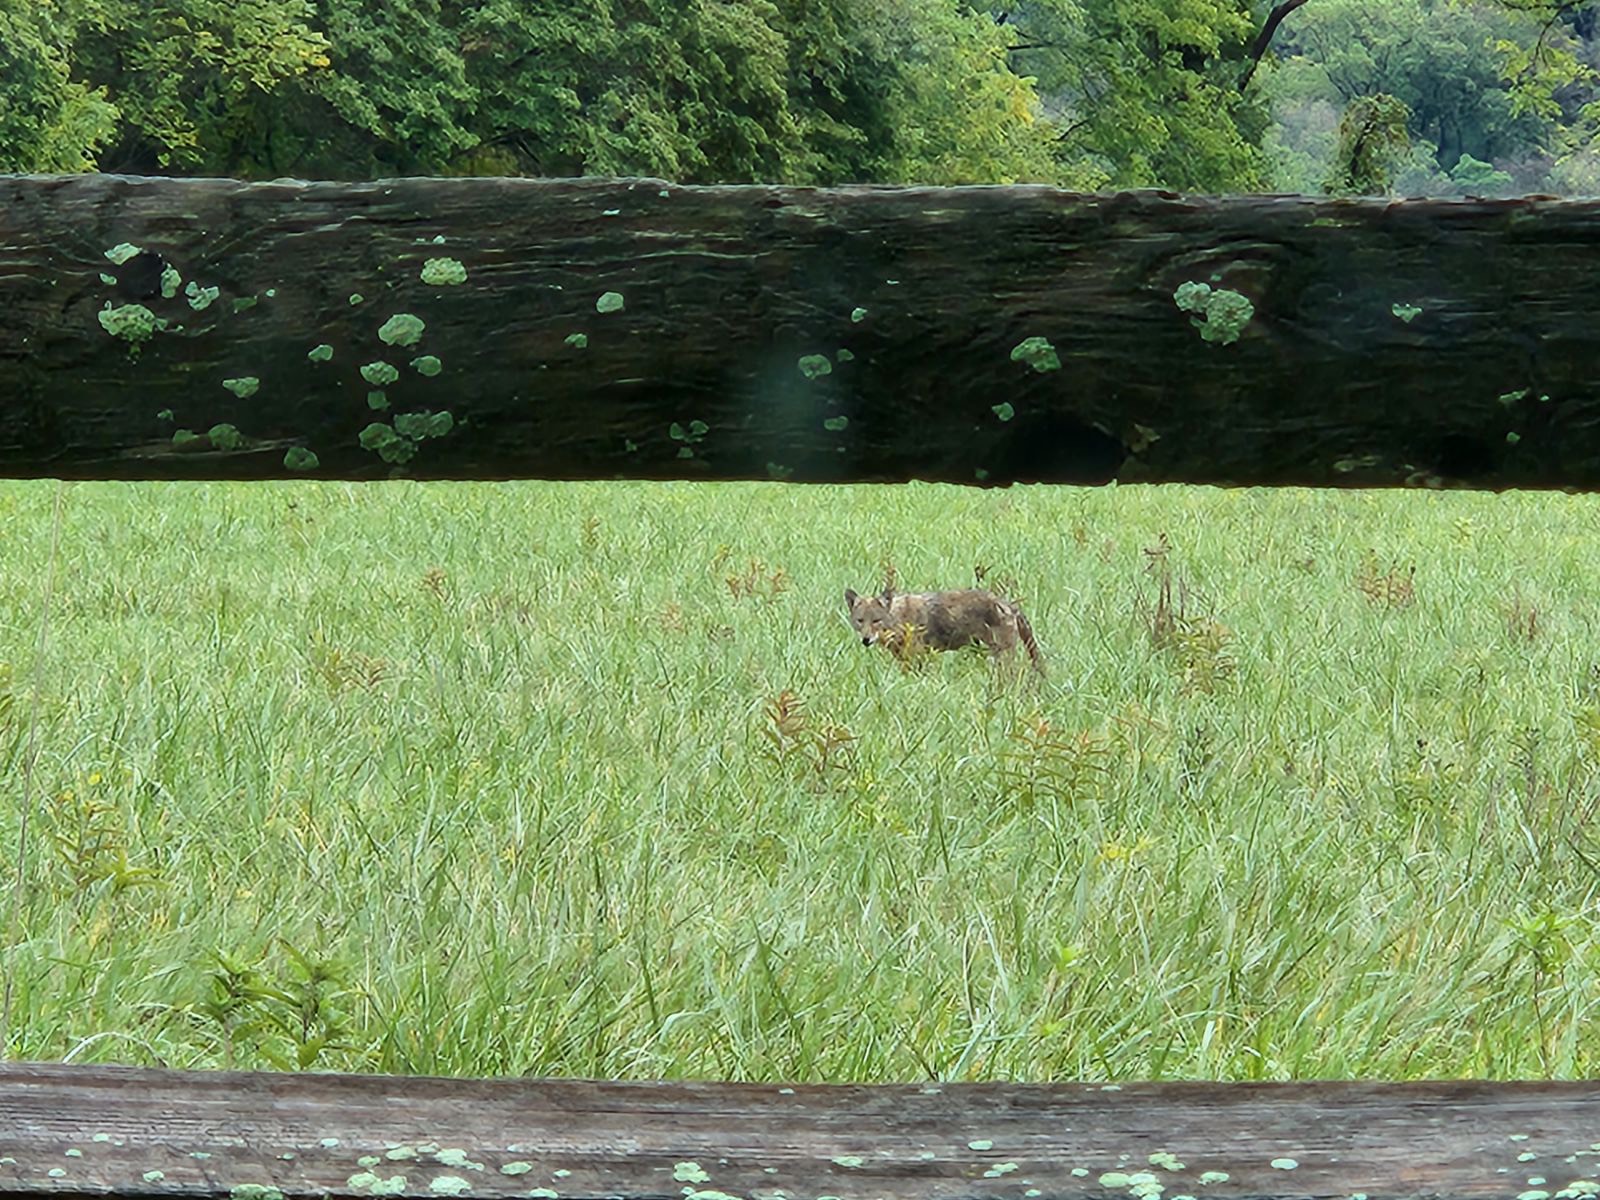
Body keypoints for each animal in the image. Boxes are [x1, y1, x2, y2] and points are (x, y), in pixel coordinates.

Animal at [843, 587, 1044, 674]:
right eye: (860, 621)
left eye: (876, 621)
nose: (866, 640)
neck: (899, 620)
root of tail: (1009, 604)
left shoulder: (919, 659)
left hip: (1002, 656)